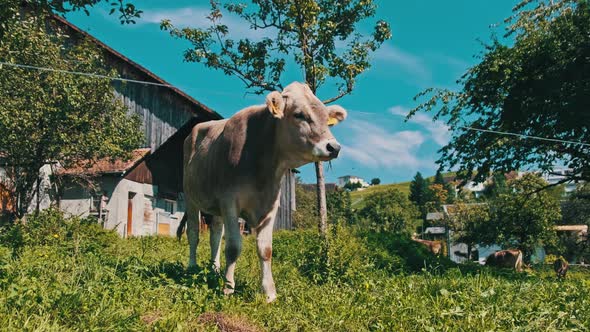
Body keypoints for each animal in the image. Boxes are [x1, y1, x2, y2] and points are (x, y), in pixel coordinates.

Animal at [180, 81, 346, 302]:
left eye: (326, 118)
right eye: (299, 114)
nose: (333, 147)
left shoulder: (270, 204)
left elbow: (265, 249)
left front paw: (269, 292)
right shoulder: (229, 201)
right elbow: (233, 247)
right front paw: (228, 288)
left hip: (216, 208)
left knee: (215, 235)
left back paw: (214, 269)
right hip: (190, 197)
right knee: (193, 233)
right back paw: (192, 268)